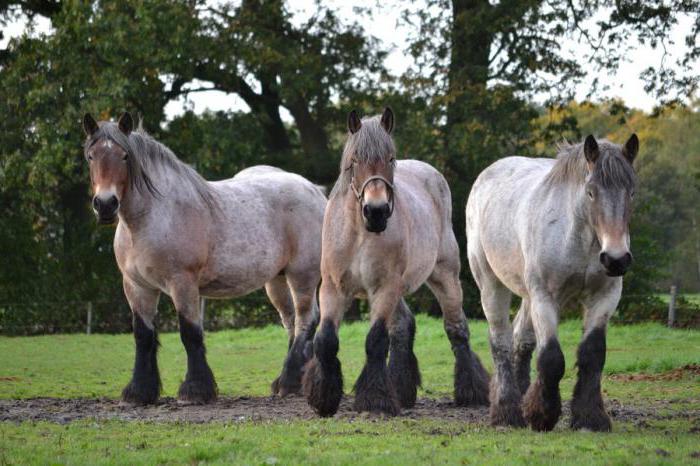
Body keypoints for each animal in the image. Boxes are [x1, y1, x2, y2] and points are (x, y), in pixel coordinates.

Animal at [80, 112, 326, 404]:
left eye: (124, 155)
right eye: (90, 156)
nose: (106, 204)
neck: (150, 219)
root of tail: (314, 190)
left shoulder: (182, 283)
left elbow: (190, 333)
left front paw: (195, 390)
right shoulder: (137, 286)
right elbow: (143, 335)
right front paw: (139, 392)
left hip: (302, 275)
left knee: (305, 320)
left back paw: (289, 382)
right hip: (276, 280)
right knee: (291, 321)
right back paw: (290, 381)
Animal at [304, 107, 490, 416]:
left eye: (390, 159)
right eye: (355, 160)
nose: (376, 211)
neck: (358, 233)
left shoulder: (384, 287)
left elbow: (376, 340)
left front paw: (375, 399)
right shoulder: (333, 287)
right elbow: (327, 340)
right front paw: (323, 399)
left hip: (444, 276)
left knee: (456, 328)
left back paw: (471, 391)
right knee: (404, 327)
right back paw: (402, 390)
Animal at [464, 133, 640, 432]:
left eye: (631, 192)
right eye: (591, 192)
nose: (616, 259)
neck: (578, 237)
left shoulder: (605, 296)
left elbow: (593, 354)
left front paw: (590, 418)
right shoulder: (545, 297)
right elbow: (551, 358)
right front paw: (542, 415)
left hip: (527, 294)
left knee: (520, 339)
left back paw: (522, 397)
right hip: (491, 284)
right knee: (501, 341)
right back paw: (507, 412)